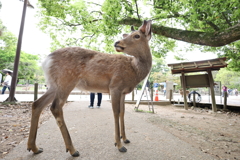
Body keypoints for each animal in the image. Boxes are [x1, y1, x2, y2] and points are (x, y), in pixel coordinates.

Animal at [27, 19, 153, 156]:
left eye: (137, 36)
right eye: (128, 35)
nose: (117, 42)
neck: (134, 70)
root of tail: (46, 61)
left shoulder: (123, 92)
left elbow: (122, 112)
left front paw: (125, 139)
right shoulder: (115, 86)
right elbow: (115, 112)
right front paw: (119, 145)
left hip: (55, 84)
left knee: (37, 104)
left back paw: (35, 148)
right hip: (66, 81)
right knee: (55, 107)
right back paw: (73, 150)